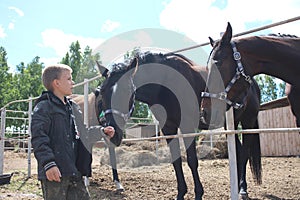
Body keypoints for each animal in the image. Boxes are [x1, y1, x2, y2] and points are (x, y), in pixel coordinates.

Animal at [95, 52, 260, 200]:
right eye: (101, 92)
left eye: (126, 90)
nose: (112, 133)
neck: (165, 83)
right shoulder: (168, 128)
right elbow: (176, 161)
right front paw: (181, 193)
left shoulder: (187, 126)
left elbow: (192, 161)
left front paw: (198, 194)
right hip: (230, 126)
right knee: (239, 152)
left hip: (248, 122)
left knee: (244, 153)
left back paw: (243, 190)